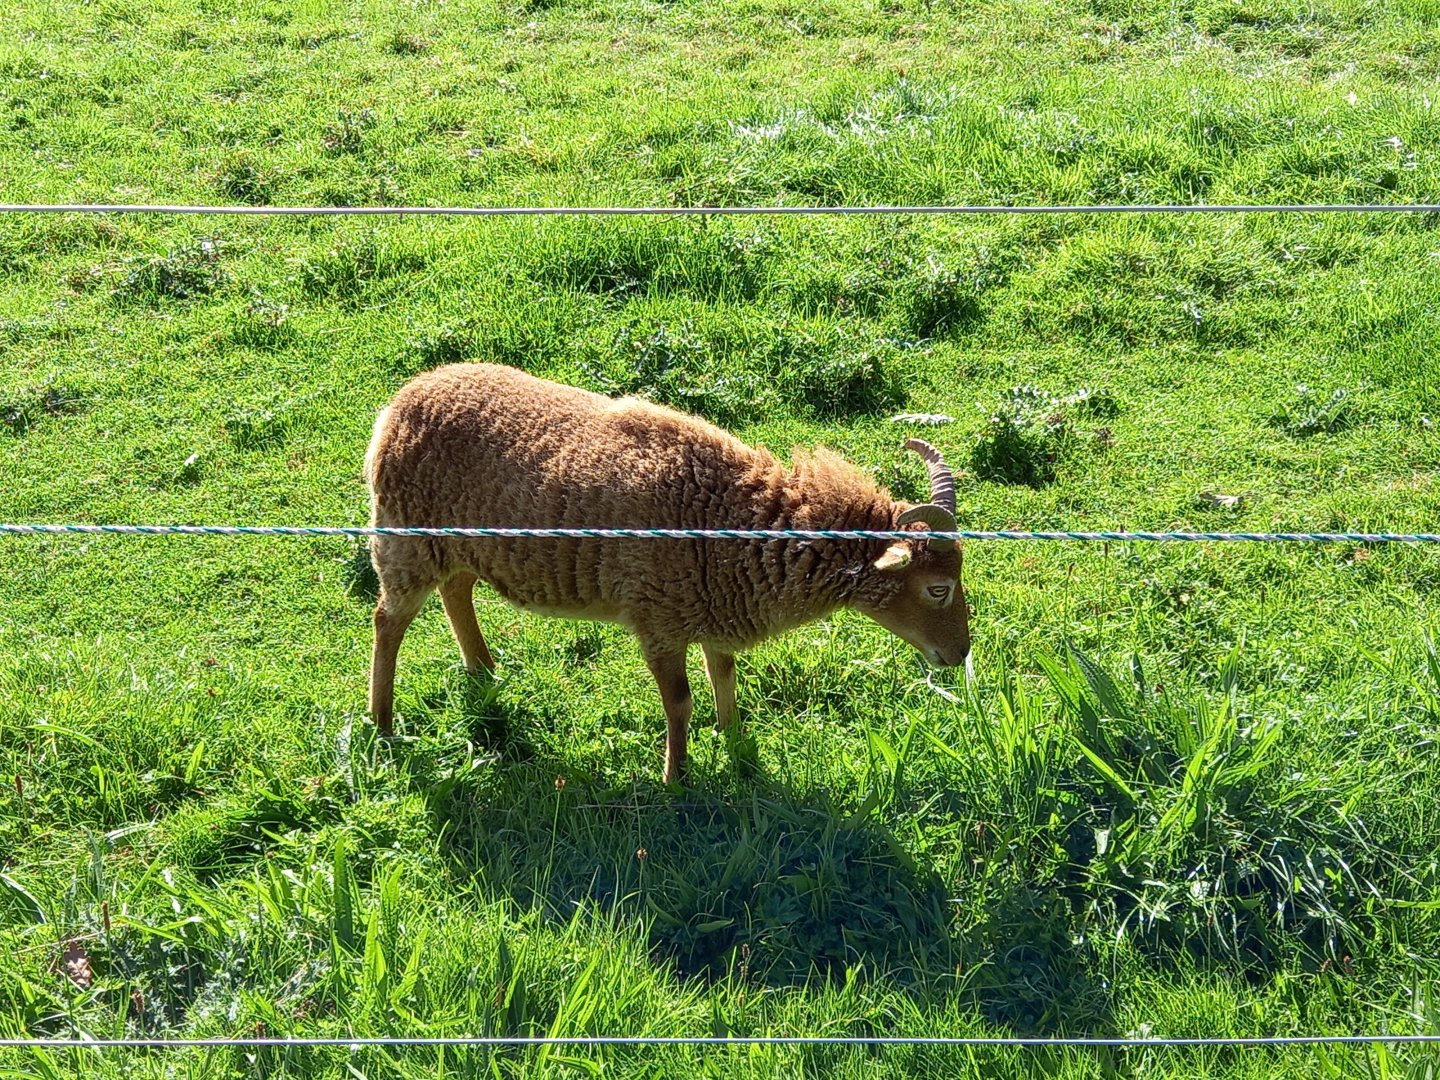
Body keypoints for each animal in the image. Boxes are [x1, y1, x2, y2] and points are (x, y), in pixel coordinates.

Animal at [365, 362, 970, 784]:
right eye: (937, 588)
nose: (959, 653)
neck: (730, 519)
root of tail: (398, 406)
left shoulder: (715, 608)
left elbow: (724, 676)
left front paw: (734, 740)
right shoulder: (659, 619)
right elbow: (679, 702)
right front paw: (676, 778)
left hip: (458, 546)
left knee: (456, 591)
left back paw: (484, 671)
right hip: (404, 540)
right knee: (387, 622)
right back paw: (383, 724)